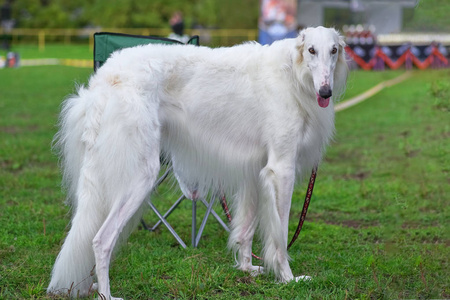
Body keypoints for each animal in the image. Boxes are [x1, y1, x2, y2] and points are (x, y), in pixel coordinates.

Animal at [47, 27, 348, 298]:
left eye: (334, 50)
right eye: (311, 50)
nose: (326, 92)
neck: (293, 74)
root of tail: (103, 79)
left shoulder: (254, 170)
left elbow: (246, 229)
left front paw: (247, 269)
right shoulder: (281, 169)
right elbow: (281, 237)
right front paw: (287, 278)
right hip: (140, 174)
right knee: (100, 240)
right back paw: (107, 294)